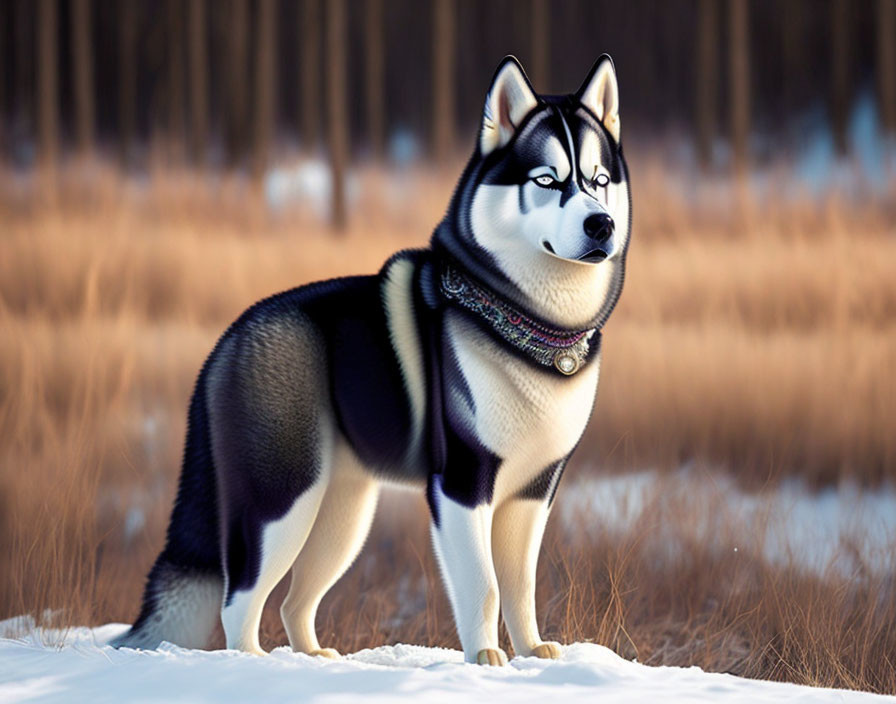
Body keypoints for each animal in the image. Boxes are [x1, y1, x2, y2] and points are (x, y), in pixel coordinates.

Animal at [114, 55, 632, 664]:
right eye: (547, 180)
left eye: (599, 181)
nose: (601, 225)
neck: (526, 327)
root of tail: (228, 339)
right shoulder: (461, 483)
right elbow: (483, 585)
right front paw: (484, 658)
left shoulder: (533, 491)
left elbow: (520, 585)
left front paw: (530, 652)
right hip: (281, 500)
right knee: (238, 599)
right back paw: (257, 664)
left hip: (341, 513)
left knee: (294, 600)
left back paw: (313, 658)